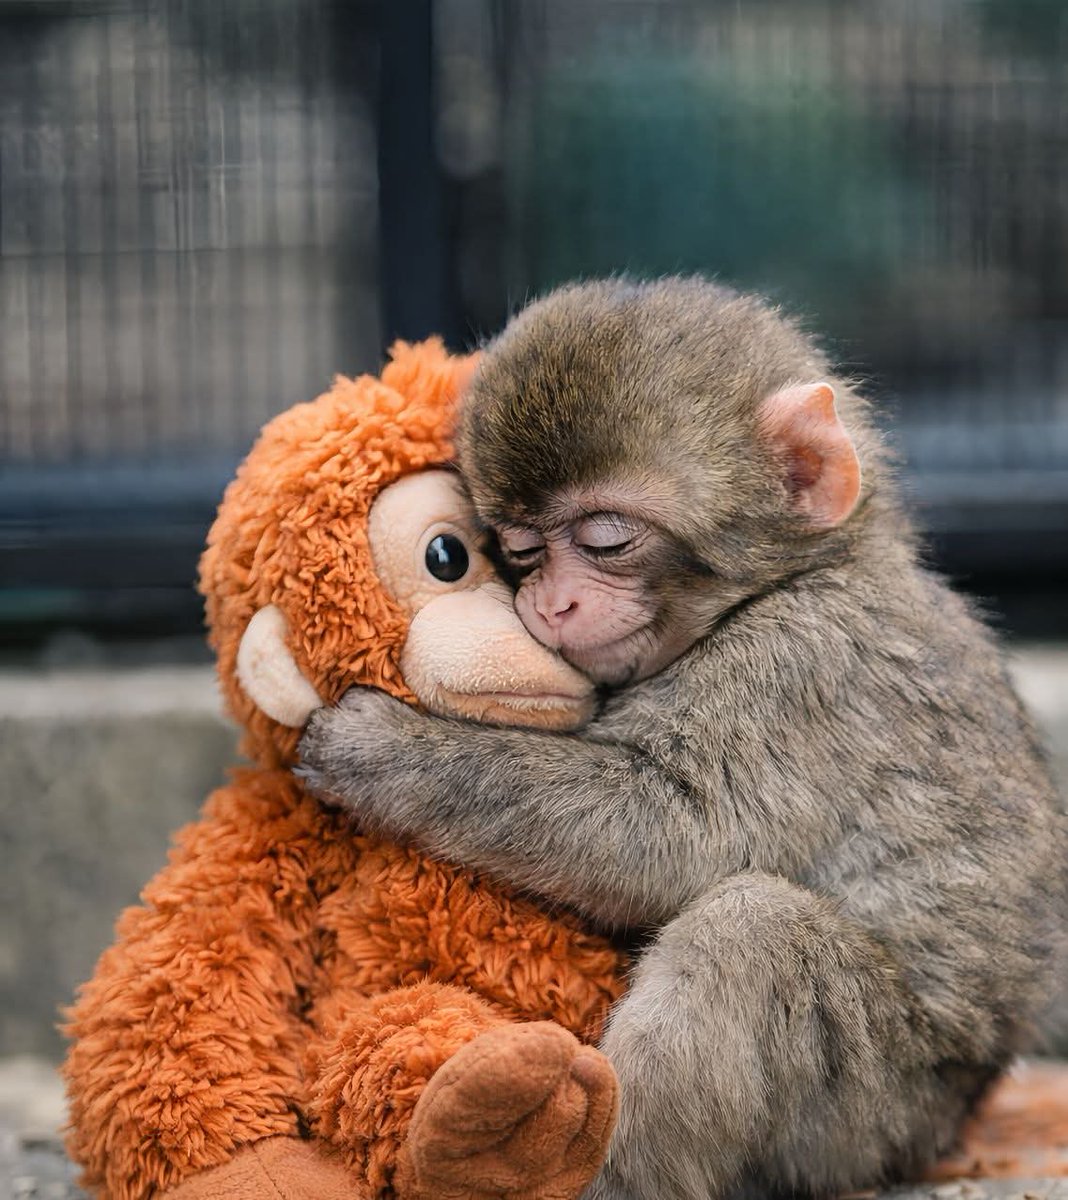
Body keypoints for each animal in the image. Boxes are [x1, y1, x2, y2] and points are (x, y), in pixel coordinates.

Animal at [298, 277, 1067, 1200]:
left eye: (607, 540)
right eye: (522, 550)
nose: (550, 604)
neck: (795, 579)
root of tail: (953, 1122)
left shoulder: (798, 668)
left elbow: (675, 834)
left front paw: (377, 748)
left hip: (874, 1111)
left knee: (750, 932)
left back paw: (589, 1168)